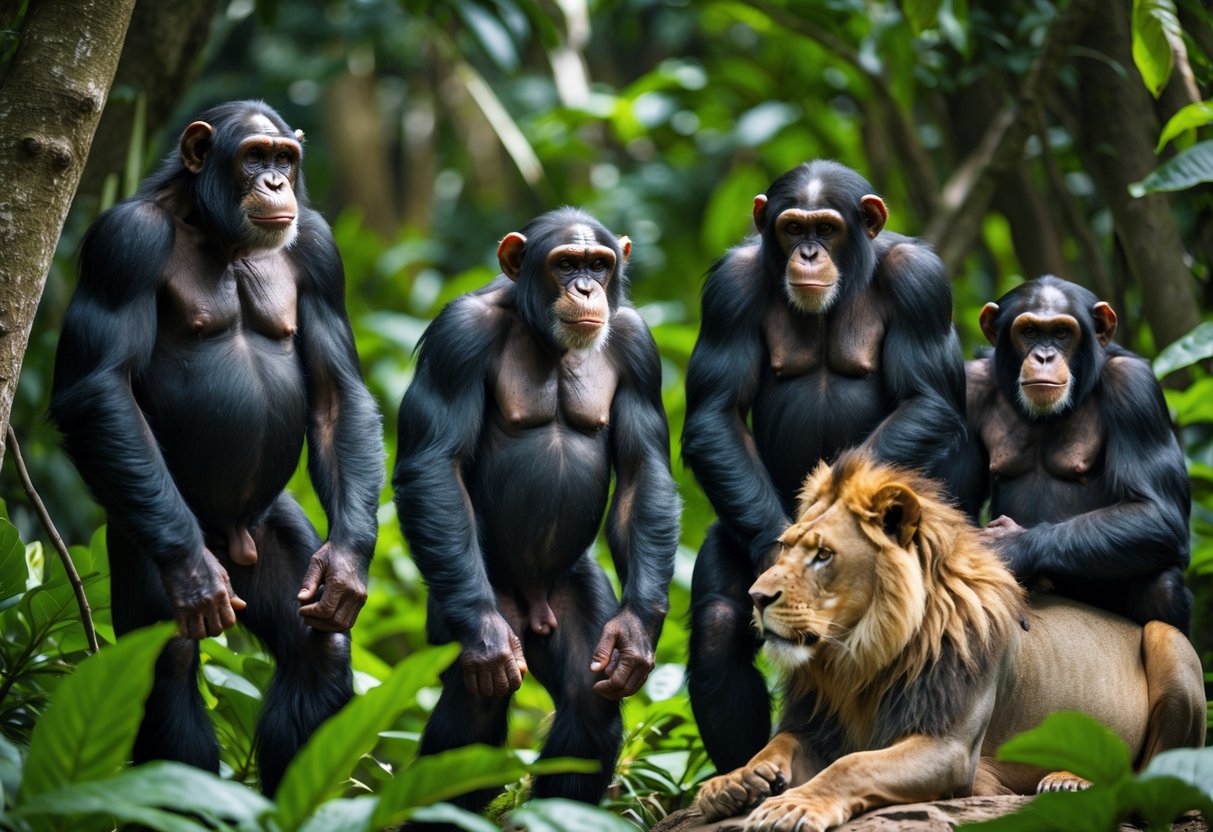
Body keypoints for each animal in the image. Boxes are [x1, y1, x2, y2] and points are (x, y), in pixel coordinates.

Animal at [695, 450, 1205, 832]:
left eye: (823, 555)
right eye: (786, 546)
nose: (757, 596)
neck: (859, 659)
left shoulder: (949, 747)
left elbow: (854, 765)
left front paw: (793, 805)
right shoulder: (816, 723)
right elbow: (779, 743)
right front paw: (736, 781)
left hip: (1168, 639)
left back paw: (1071, 781)